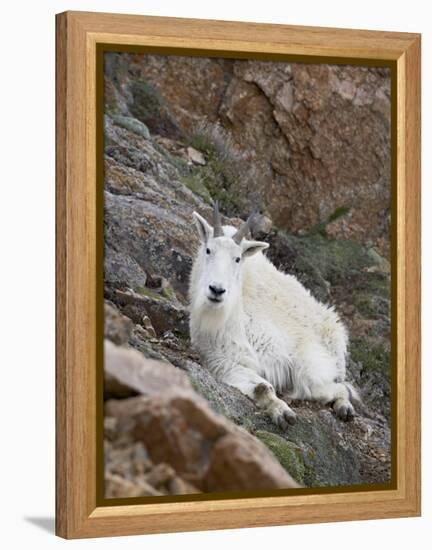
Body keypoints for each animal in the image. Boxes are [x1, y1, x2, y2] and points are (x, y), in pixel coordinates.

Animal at [189, 203, 358, 432]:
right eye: (208, 250)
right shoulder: (223, 361)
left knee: (338, 386)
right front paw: (282, 413)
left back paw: (344, 408)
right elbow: (262, 386)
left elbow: (311, 383)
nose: (217, 290)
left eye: (237, 258)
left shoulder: (296, 357)